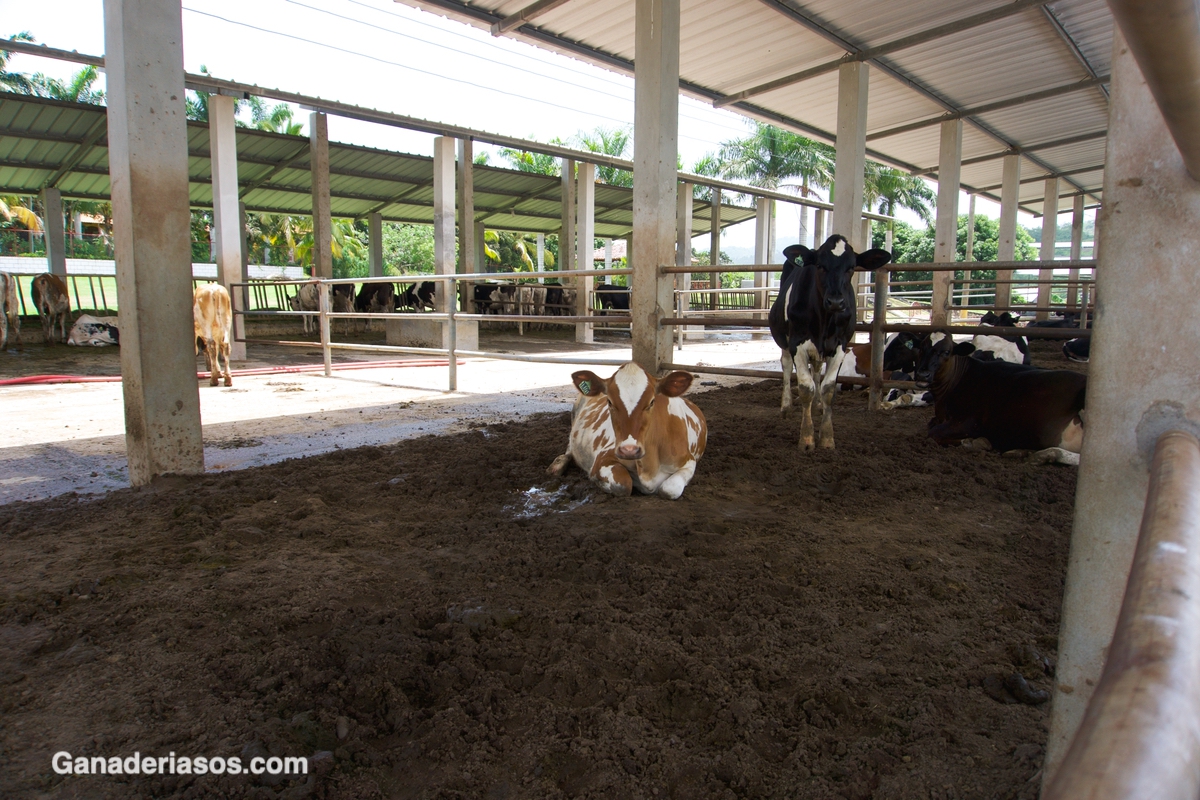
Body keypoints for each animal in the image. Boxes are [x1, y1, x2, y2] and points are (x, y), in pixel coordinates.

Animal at [544, 364, 700, 501]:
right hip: (574, 415)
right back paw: (557, 466)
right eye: (609, 402)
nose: (629, 450)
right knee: (569, 447)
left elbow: (669, 489)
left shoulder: (689, 461)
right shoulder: (603, 458)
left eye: (651, 402)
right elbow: (624, 485)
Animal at [768, 236, 892, 450]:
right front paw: (807, 438)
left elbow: (828, 389)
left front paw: (826, 437)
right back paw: (786, 406)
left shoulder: (840, 346)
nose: (835, 302)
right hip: (784, 341)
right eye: (820, 266)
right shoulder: (797, 344)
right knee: (786, 366)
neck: (824, 320)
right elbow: (806, 388)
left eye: (851, 267)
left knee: (817, 369)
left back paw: (817, 405)